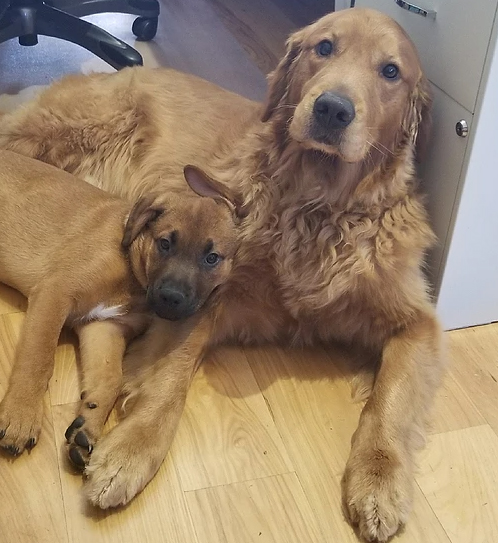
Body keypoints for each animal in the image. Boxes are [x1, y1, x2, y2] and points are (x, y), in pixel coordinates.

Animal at [0, 151, 239, 467]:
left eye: (212, 258)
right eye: (165, 243)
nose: (171, 297)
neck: (133, 275)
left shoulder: (103, 326)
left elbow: (111, 377)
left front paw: (87, 425)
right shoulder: (55, 292)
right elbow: (38, 359)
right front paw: (20, 415)